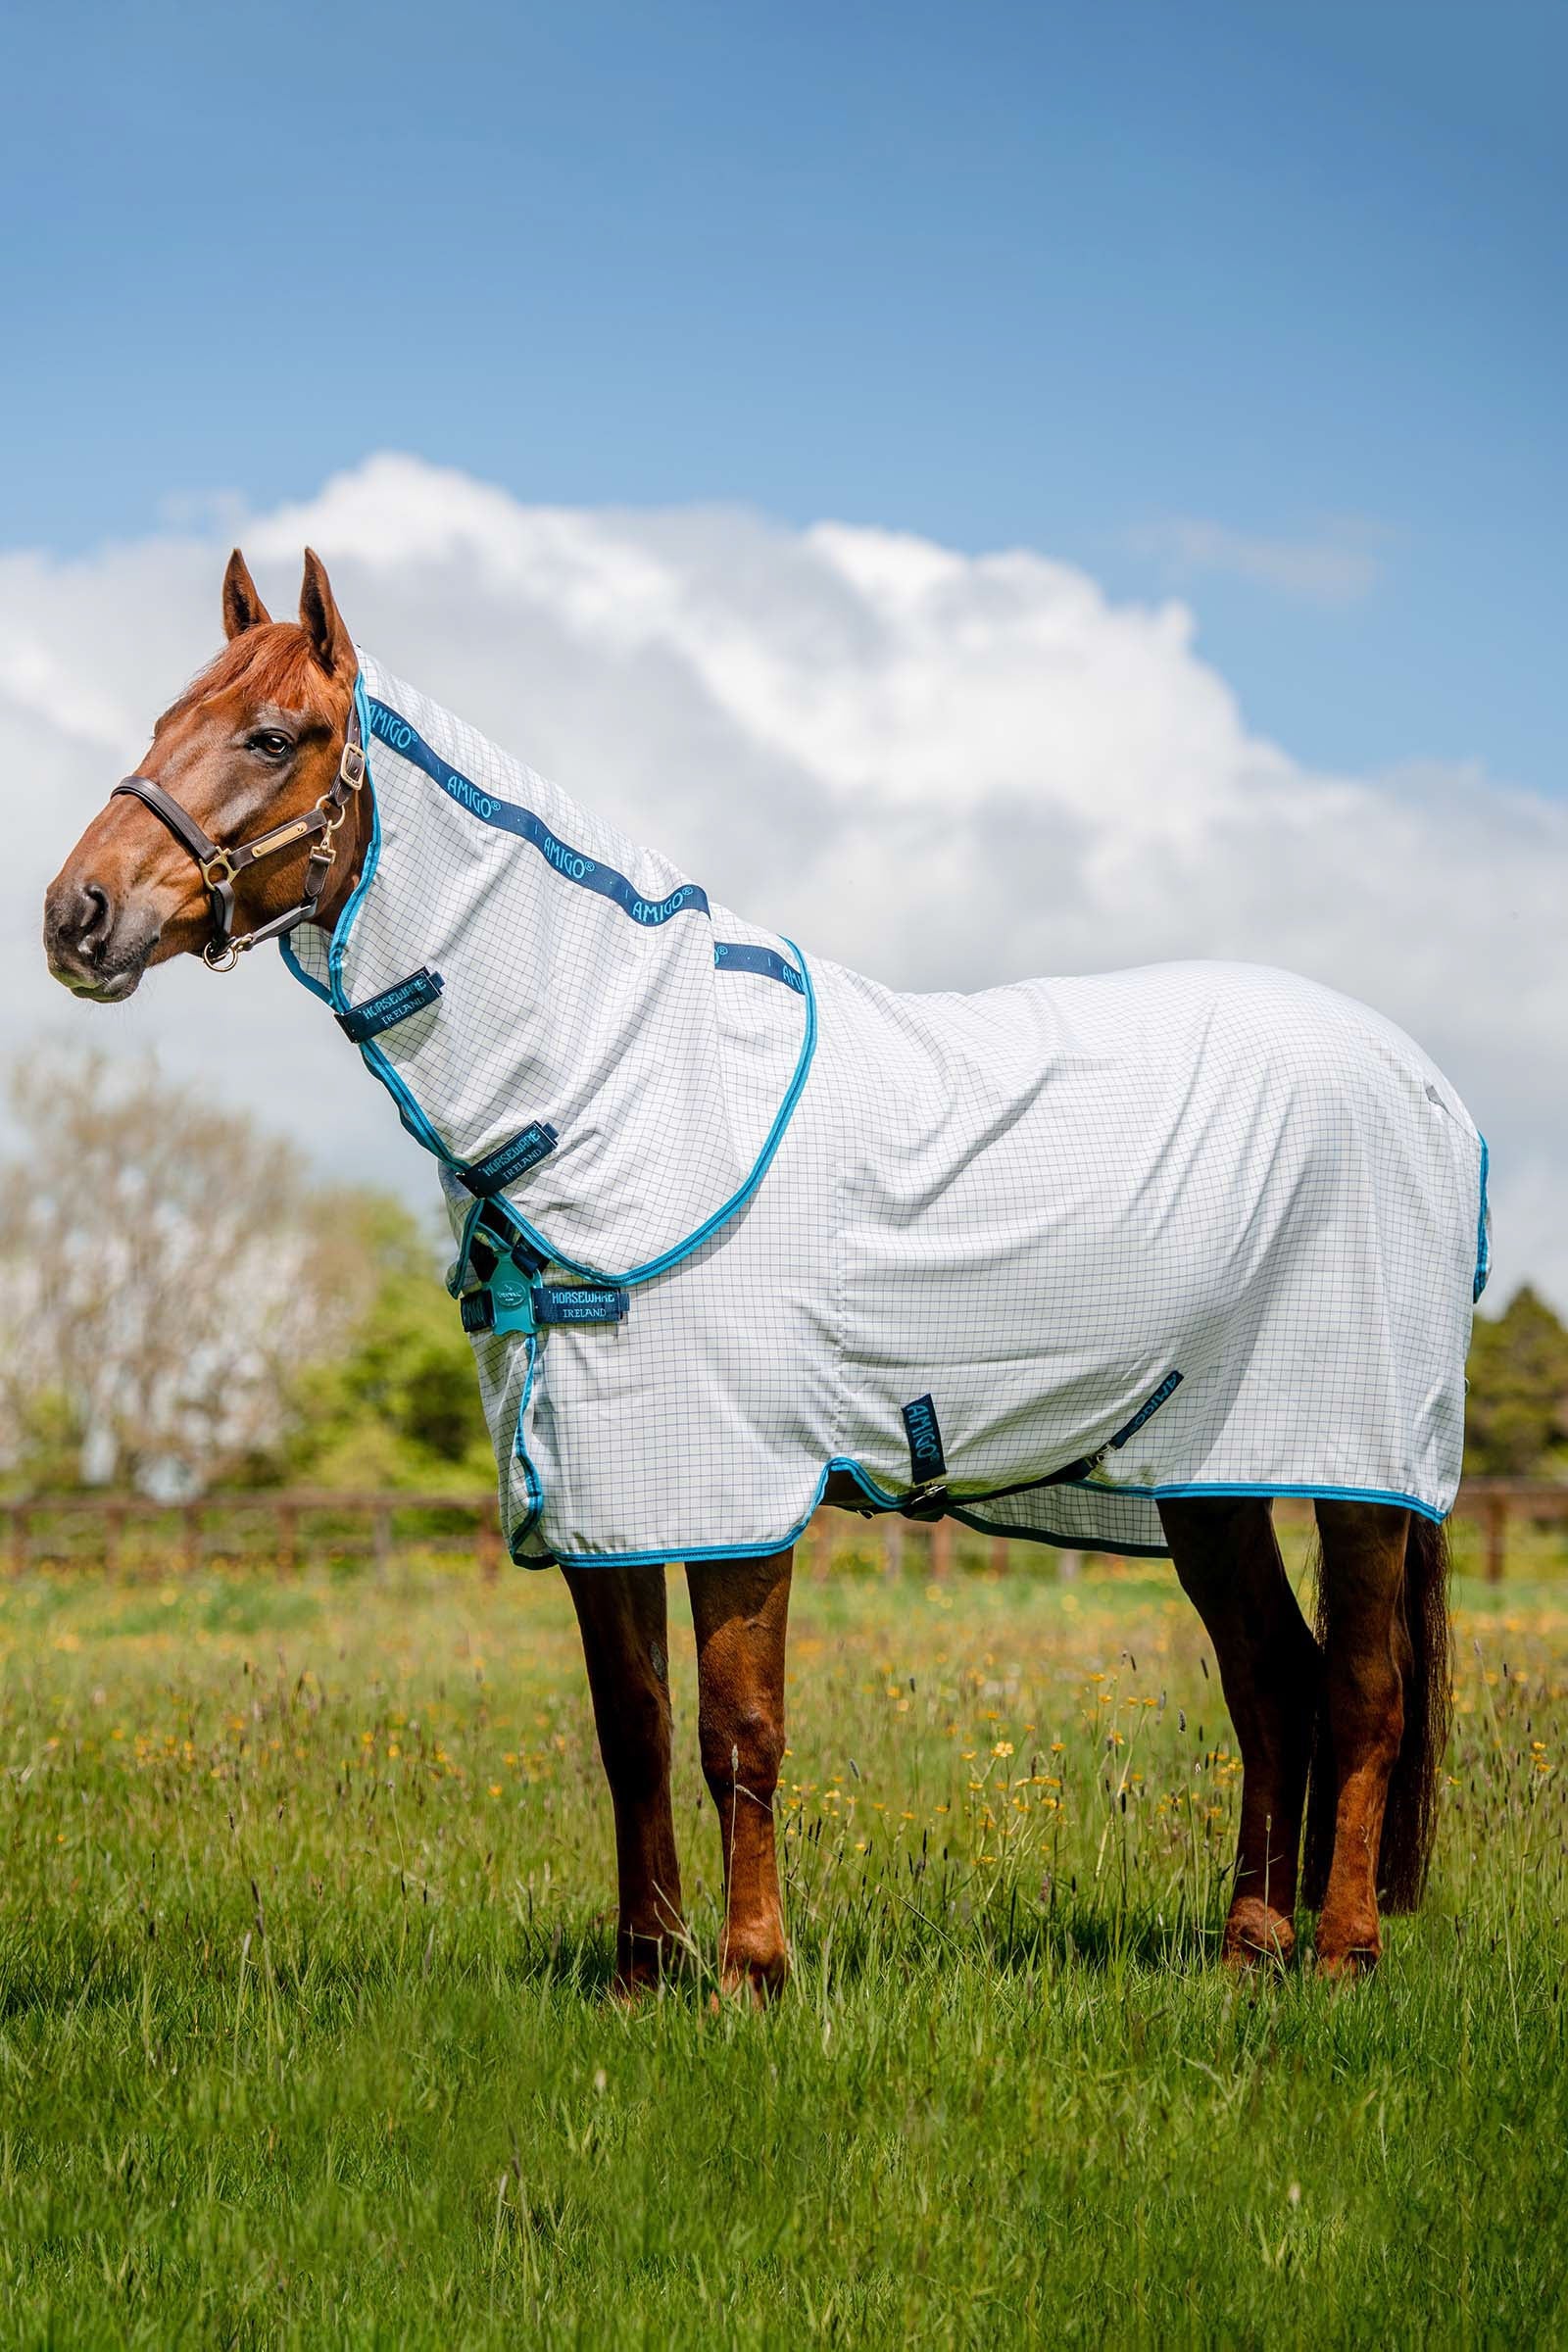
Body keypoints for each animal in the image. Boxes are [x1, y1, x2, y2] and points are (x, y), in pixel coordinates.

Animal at [44, 547, 1480, 1993]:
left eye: (273, 736)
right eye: (164, 720)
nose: (76, 914)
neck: (631, 1076)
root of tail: (1425, 1087)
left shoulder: (730, 1478)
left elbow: (738, 1728)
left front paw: (749, 1971)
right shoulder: (608, 1481)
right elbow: (631, 1729)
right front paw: (643, 1971)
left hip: (1351, 1463)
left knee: (1361, 1690)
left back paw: (1342, 1954)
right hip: (1207, 1471)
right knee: (1272, 1682)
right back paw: (1246, 1952)